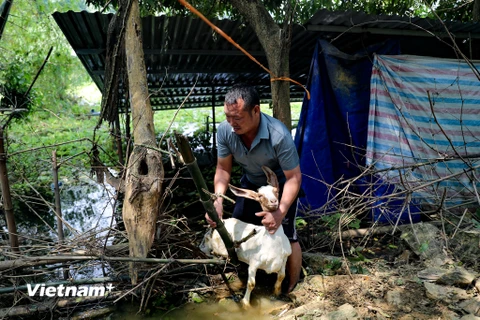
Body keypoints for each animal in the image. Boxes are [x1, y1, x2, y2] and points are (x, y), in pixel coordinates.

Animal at [201, 166, 290, 306]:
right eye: (260, 195)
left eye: (276, 191)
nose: (274, 201)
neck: (272, 243)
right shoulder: (254, 262)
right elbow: (251, 283)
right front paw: (246, 304)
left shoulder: (284, 258)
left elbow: (281, 277)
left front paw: (276, 296)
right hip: (210, 242)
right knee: (206, 249)